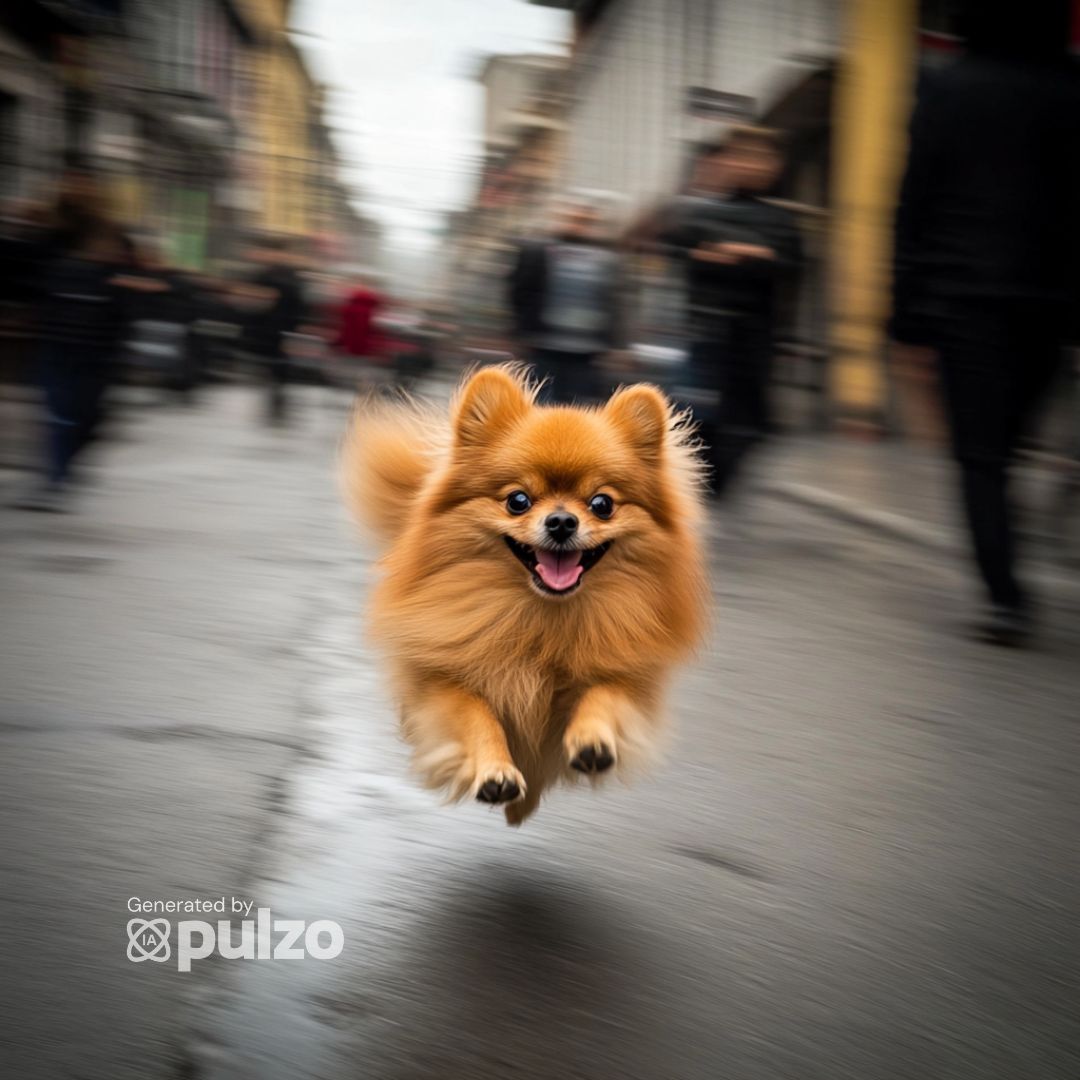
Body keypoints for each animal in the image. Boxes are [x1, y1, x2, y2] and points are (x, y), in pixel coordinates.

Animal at [343, 365, 708, 825]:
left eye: (602, 504)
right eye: (518, 500)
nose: (561, 522)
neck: (541, 617)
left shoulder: (628, 675)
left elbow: (602, 694)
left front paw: (592, 739)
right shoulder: (442, 680)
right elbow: (476, 715)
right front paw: (494, 770)